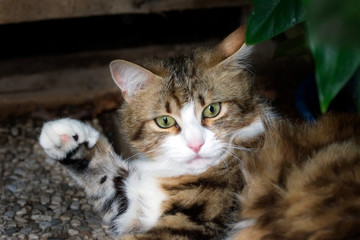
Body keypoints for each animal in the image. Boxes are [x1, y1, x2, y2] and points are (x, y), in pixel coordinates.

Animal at [38, 24, 360, 240]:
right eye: (165, 121)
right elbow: (110, 180)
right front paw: (65, 136)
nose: (195, 145)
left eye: (212, 110)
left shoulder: (191, 225)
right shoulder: (136, 205)